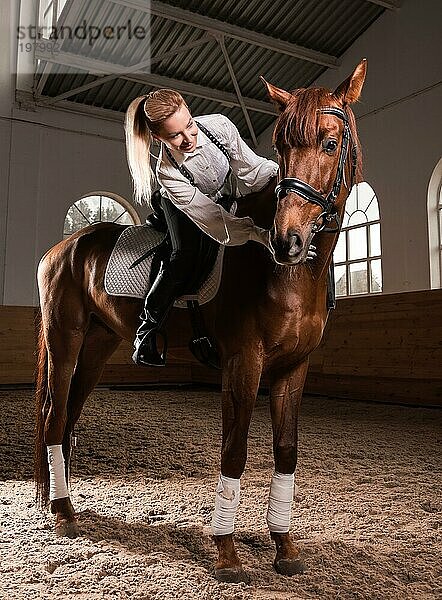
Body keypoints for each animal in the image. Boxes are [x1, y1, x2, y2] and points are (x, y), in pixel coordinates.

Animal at [34, 61, 366, 580]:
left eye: (330, 144)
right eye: (281, 146)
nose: (285, 240)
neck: (283, 274)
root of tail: (64, 247)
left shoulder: (294, 369)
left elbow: (286, 451)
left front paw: (284, 546)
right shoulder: (243, 364)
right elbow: (234, 452)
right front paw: (227, 551)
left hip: (97, 345)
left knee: (68, 415)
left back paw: (64, 502)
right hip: (64, 340)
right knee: (54, 415)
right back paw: (63, 514)